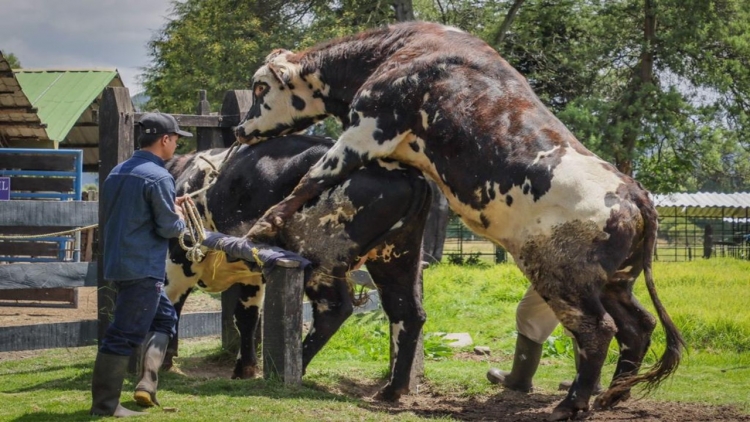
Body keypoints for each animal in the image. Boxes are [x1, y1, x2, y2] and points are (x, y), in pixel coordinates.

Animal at [164, 134, 434, 396]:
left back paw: (295, 365)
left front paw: (165, 360)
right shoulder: (250, 275)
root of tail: (409, 174)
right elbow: (245, 318)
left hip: (322, 257)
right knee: (407, 312)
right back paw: (391, 390)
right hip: (397, 258)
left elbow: (171, 305)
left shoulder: (178, 258)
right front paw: (244, 368)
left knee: (334, 308)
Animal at [235, 20, 688, 422]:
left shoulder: (369, 129)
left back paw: (573, 404)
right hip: (615, 282)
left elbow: (315, 176)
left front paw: (266, 223)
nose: (240, 129)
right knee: (638, 327)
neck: (399, 50)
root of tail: (633, 193)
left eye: (260, 88)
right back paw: (613, 396)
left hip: (564, 280)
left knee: (598, 331)